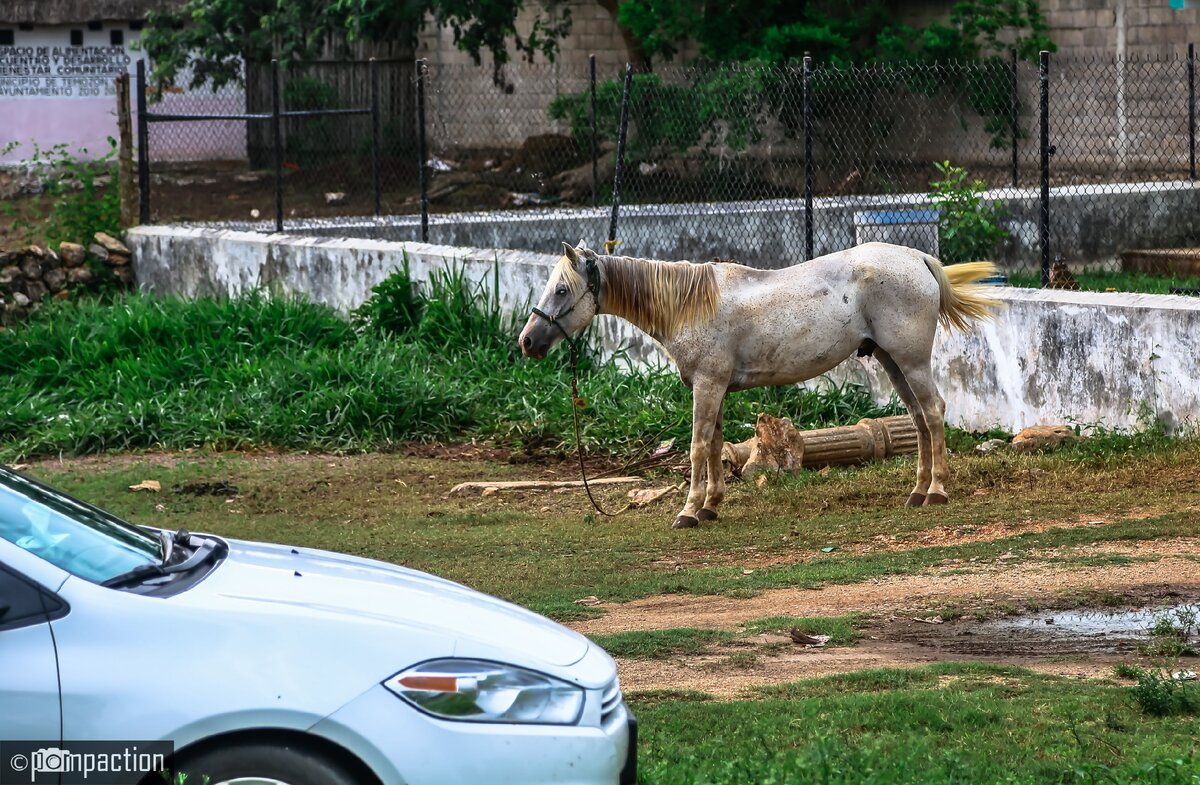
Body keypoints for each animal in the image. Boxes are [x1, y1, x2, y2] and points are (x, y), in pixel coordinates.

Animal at [520, 242, 998, 532]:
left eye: (561, 290)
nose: (527, 342)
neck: (690, 305)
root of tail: (916, 258)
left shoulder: (707, 387)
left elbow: (697, 448)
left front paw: (688, 511)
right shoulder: (713, 389)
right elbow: (715, 445)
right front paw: (710, 505)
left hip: (910, 361)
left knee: (933, 413)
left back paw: (936, 491)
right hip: (891, 361)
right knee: (918, 419)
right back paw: (917, 492)